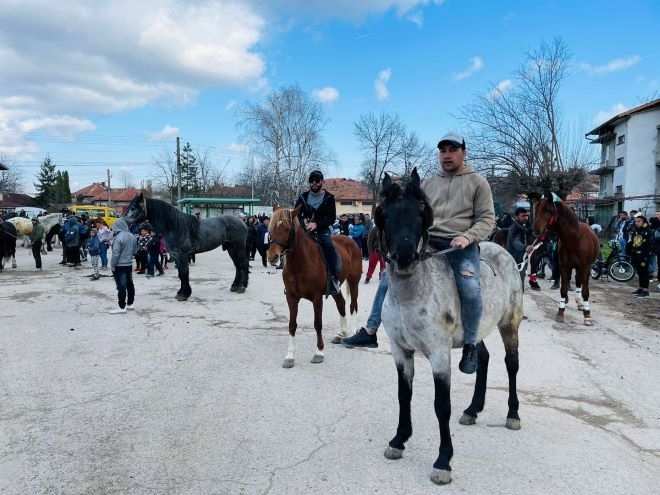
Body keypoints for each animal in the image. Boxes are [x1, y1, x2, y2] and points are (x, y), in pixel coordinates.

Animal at [266, 205, 360, 368]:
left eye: (287, 229)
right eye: (270, 228)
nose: (273, 256)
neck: (299, 263)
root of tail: (349, 239)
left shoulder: (317, 298)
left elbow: (317, 324)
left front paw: (319, 352)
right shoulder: (291, 298)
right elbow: (292, 325)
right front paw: (290, 356)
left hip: (354, 281)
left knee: (352, 305)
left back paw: (352, 335)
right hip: (336, 289)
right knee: (341, 304)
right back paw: (341, 333)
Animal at [374, 170, 524, 484]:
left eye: (420, 212)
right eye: (386, 213)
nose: (404, 257)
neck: (412, 293)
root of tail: (502, 250)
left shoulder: (439, 355)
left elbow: (441, 405)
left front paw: (443, 461)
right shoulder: (400, 351)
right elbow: (403, 395)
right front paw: (399, 440)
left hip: (510, 324)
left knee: (511, 363)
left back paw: (513, 415)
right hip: (476, 330)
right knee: (483, 359)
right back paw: (472, 410)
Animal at [532, 194, 600, 326]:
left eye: (547, 210)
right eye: (536, 210)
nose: (536, 231)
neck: (575, 239)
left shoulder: (585, 267)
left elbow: (585, 291)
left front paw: (587, 315)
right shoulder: (564, 266)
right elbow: (563, 290)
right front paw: (560, 312)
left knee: (579, 282)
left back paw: (581, 304)